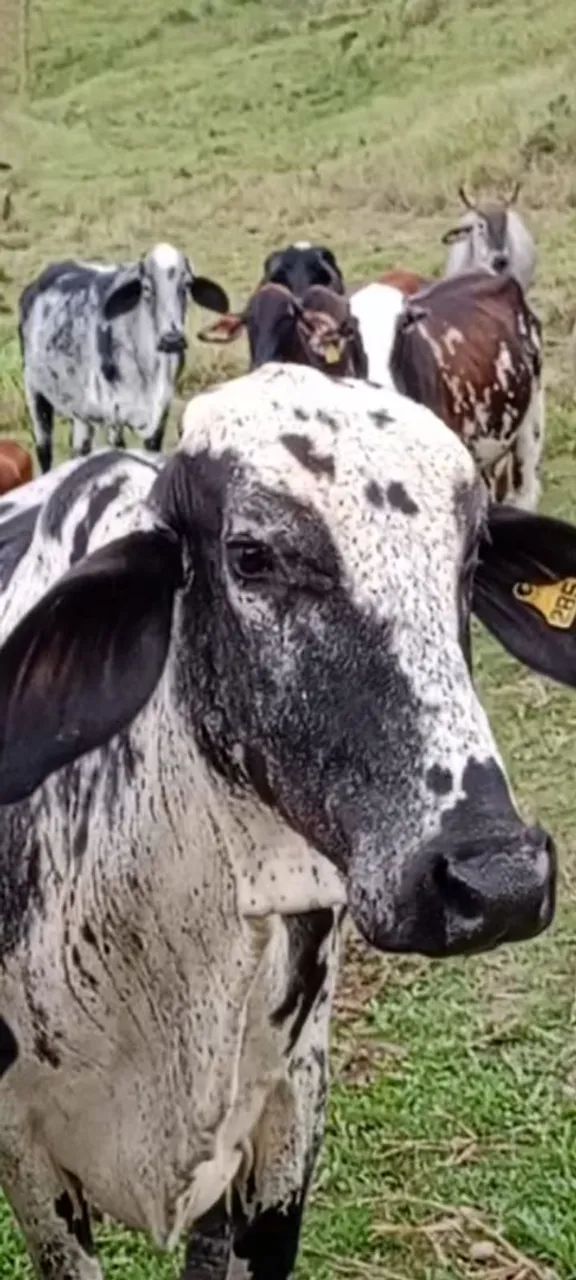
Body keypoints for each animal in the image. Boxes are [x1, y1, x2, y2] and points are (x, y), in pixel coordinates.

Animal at [19, 243, 230, 473]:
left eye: (188, 284)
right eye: (146, 288)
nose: (172, 339)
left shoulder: (161, 412)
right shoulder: (113, 414)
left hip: (80, 409)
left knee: (79, 448)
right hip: (34, 392)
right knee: (44, 449)